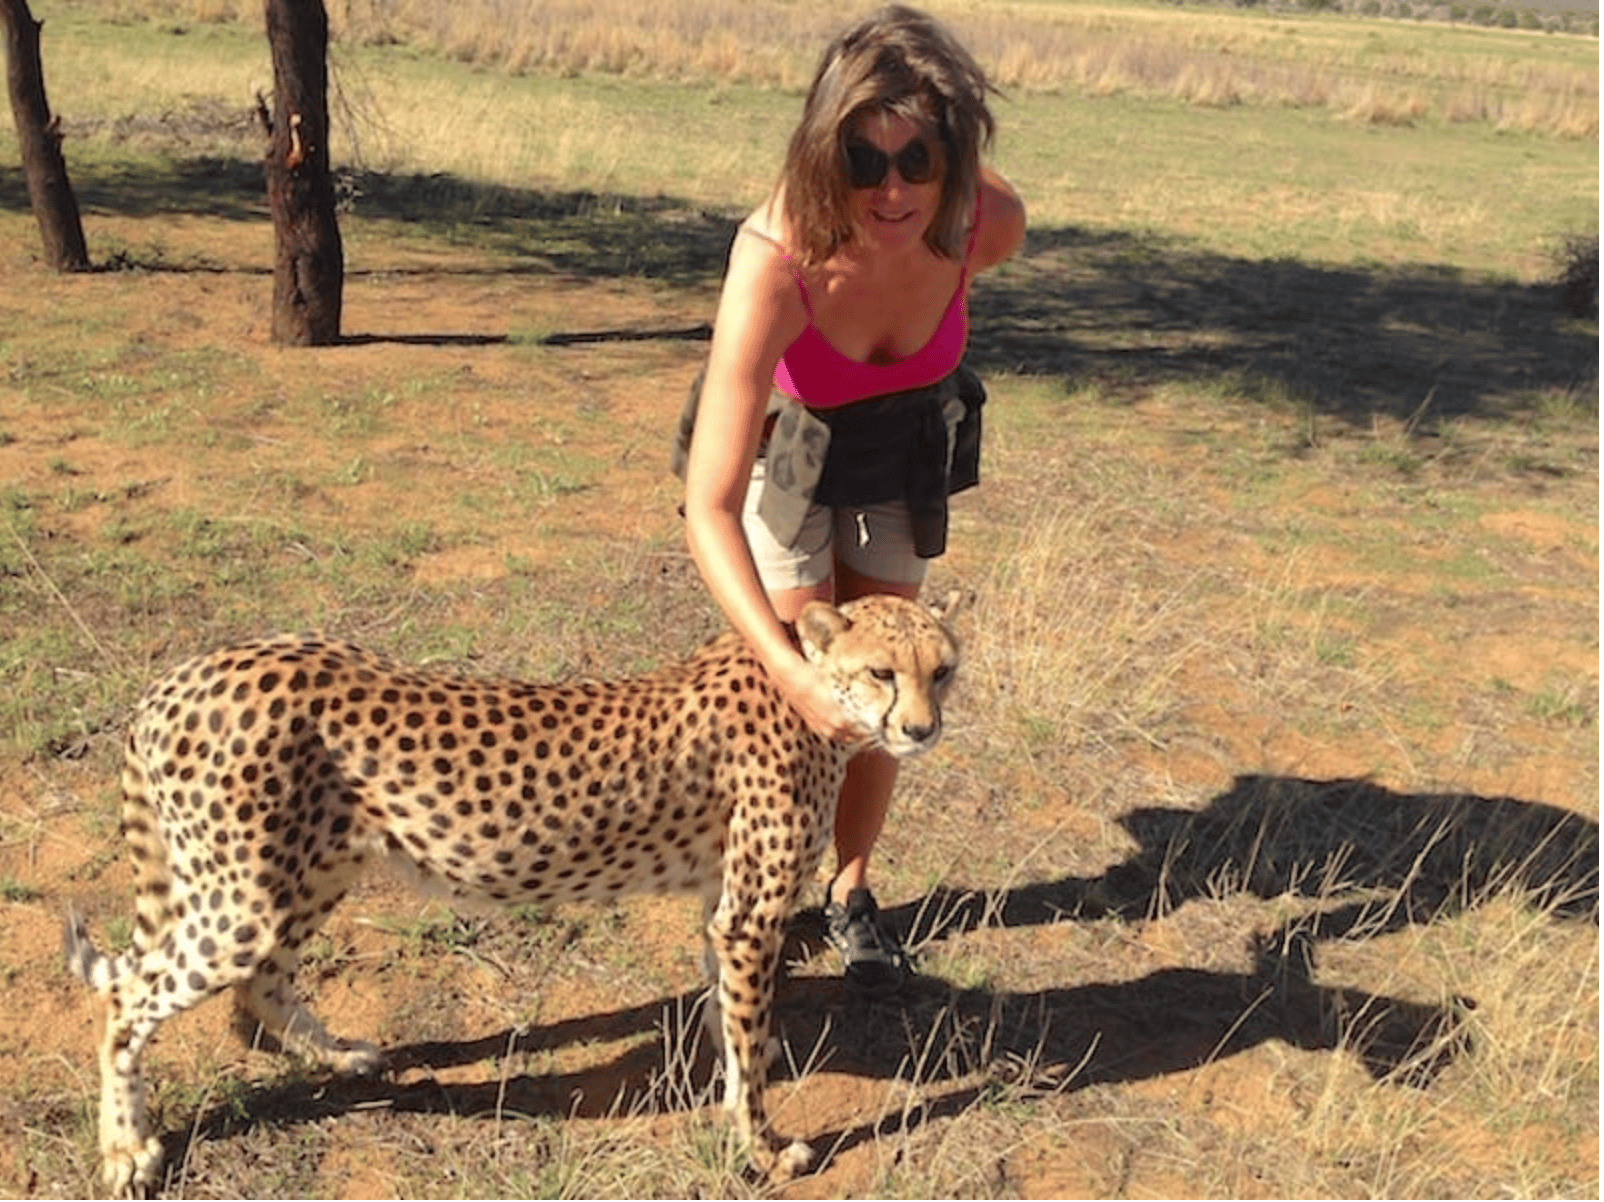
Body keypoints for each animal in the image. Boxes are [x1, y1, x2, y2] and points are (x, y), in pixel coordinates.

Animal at [63, 592, 961, 1196]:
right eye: (881, 672)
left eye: (942, 670)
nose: (921, 730)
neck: (812, 700)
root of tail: (186, 675)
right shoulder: (749, 916)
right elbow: (743, 1038)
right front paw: (764, 1148)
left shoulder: (723, 904)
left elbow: (727, 1015)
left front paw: (748, 1062)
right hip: (244, 899)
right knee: (130, 1000)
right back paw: (126, 1151)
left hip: (304, 871)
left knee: (256, 992)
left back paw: (341, 1056)